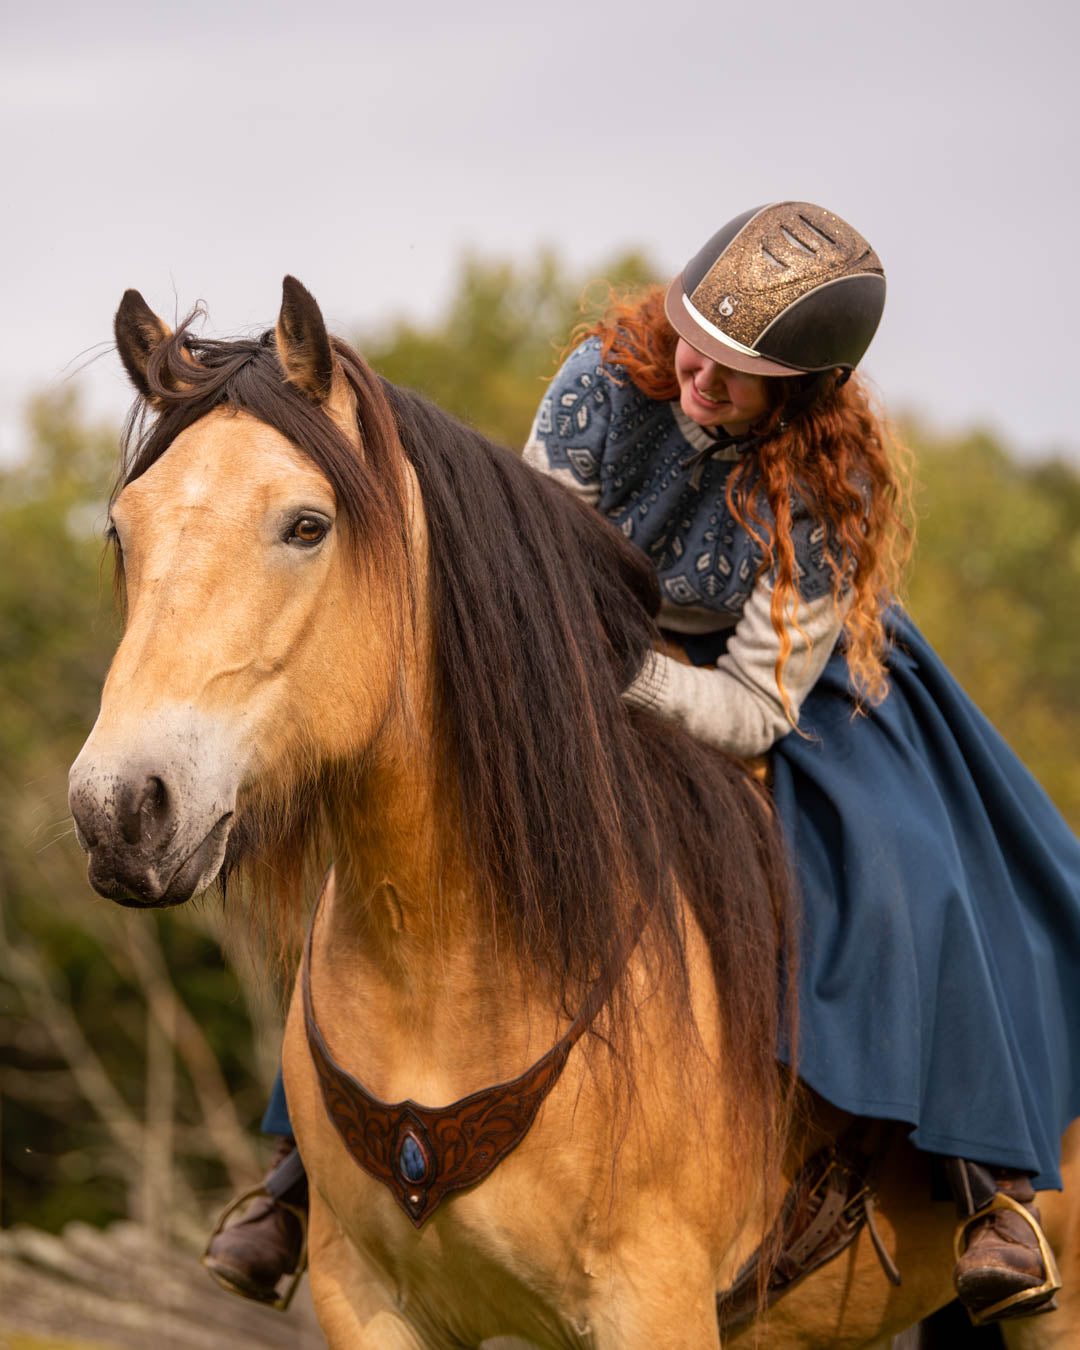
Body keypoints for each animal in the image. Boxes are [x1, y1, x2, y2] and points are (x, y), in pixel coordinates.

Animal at [67, 279, 1080, 1344]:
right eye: (123, 530)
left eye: (307, 525)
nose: (120, 810)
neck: (445, 966)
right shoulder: (368, 1300)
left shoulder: (653, 1301)